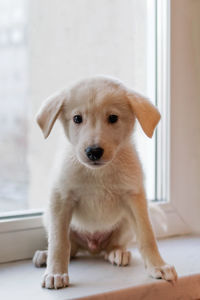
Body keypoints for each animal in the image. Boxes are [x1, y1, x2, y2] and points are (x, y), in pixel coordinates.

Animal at [32, 75, 177, 288]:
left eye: (113, 118)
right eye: (77, 118)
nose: (93, 151)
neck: (98, 173)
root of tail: (93, 247)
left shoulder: (135, 198)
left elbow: (147, 235)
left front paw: (158, 265)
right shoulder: (61, 197)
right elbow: (59, 242)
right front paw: (56, 273)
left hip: (125, 223)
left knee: (112, 245)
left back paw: (117, 252)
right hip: (49, 216)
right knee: (71, 247)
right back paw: (45, 255)